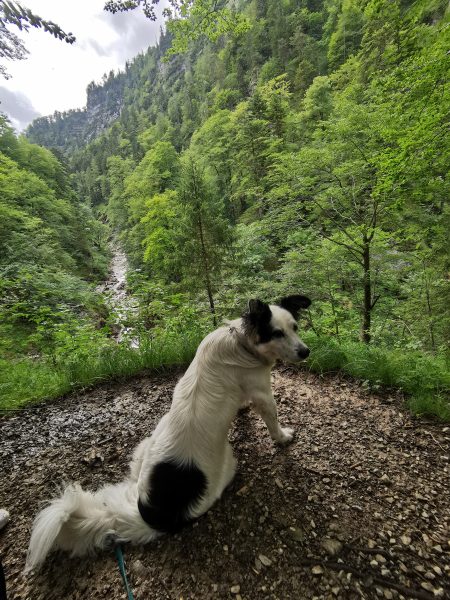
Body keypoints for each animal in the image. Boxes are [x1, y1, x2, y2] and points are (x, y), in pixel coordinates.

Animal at [25, 294, 311, 572]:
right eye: (276, 333)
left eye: (295, 327)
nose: (306, 351)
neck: (242, 342)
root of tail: (149, 514)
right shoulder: (263, 393)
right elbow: (272, 421)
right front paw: (283, 438)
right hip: (227, 464)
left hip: (146, 445)